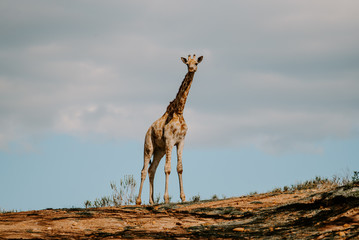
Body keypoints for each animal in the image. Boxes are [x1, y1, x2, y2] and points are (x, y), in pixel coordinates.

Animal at [136, 54, 204, 204]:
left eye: (196, 63)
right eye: (187, 63)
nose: (191, 69)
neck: (179, 111)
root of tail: (148, 130)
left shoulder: (181, 141)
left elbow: (180, 168)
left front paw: (183, 198)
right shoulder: (169, 140)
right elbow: (167, 168)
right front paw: (166, 198)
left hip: (159, 150)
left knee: (151, 169)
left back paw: (152, 201)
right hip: (149, 146)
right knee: (143, 170)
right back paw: (138, 201)